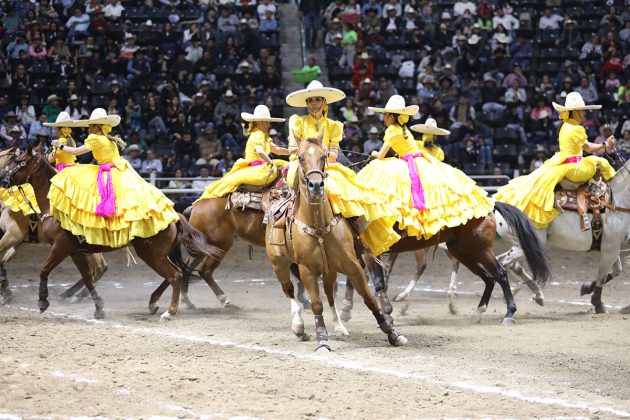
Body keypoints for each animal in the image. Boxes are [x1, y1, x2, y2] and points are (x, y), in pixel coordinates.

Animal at [0, 146, 225, 320]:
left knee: (175, 275)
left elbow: (44, 270)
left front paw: (42, 301)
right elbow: (87, 278)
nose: (3, 180)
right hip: (160, 254)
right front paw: (99, 308)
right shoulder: (75, 251)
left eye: (18, 161)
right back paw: (153, 303)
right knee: (174, 274)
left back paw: (169, 311)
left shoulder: (59, 247)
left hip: (151, 255)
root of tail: (174, 216)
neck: (53, 206)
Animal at [264, 135, 408, 352]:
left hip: (328, 270)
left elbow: (369, 298)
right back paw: (298, 327)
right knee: (289, 291)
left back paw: (339, 326)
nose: (316, 185)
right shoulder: (306, 270)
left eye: (324, 156)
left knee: (329, 294)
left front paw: (393, 334)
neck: (318, 226)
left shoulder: (352, 265)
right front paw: (322, 340)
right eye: (300, 157)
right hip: (278, 264)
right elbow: (316, 305)